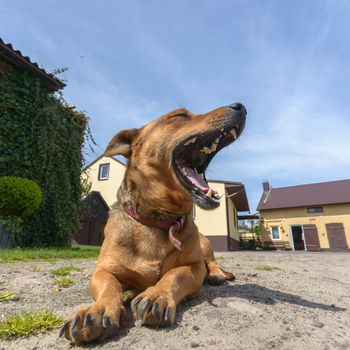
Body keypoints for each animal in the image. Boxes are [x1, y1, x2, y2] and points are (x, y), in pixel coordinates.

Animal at [60, 102, 246, 344]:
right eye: (180, 116)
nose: (240, 106)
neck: (159, 220)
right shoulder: (103, 270)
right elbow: (110, 285)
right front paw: (98, 309)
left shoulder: (194, 267)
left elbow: (174, 274)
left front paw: (157, 294)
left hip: (205, 243)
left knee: (212, 262)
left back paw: (215, 274)